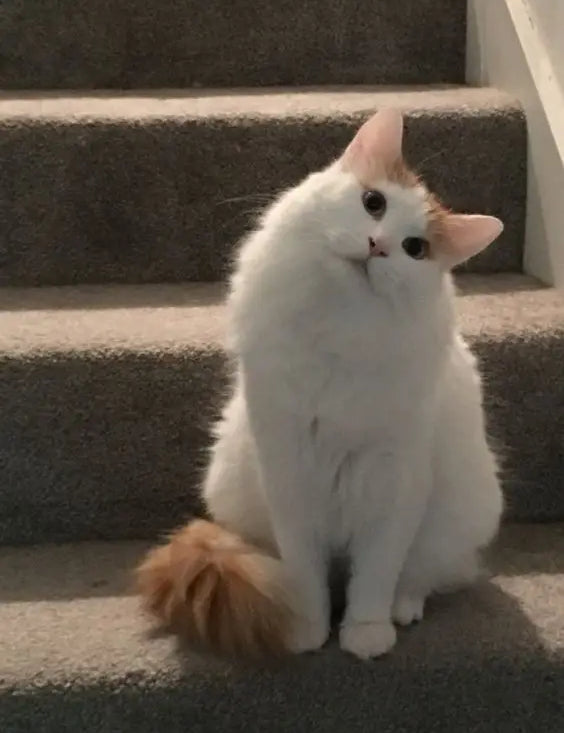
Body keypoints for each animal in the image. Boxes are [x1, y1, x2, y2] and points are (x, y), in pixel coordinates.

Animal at [139, 107, 504, 656]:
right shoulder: (289, 473)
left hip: (460, 513)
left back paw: (403, 610)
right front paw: (307, 631)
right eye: (373, 203)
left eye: (415, 249)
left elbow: (375, 575)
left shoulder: (394, 481)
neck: (337, 329)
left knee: (420, 576)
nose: (378, 247)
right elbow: (306, 577)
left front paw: (366, 634)